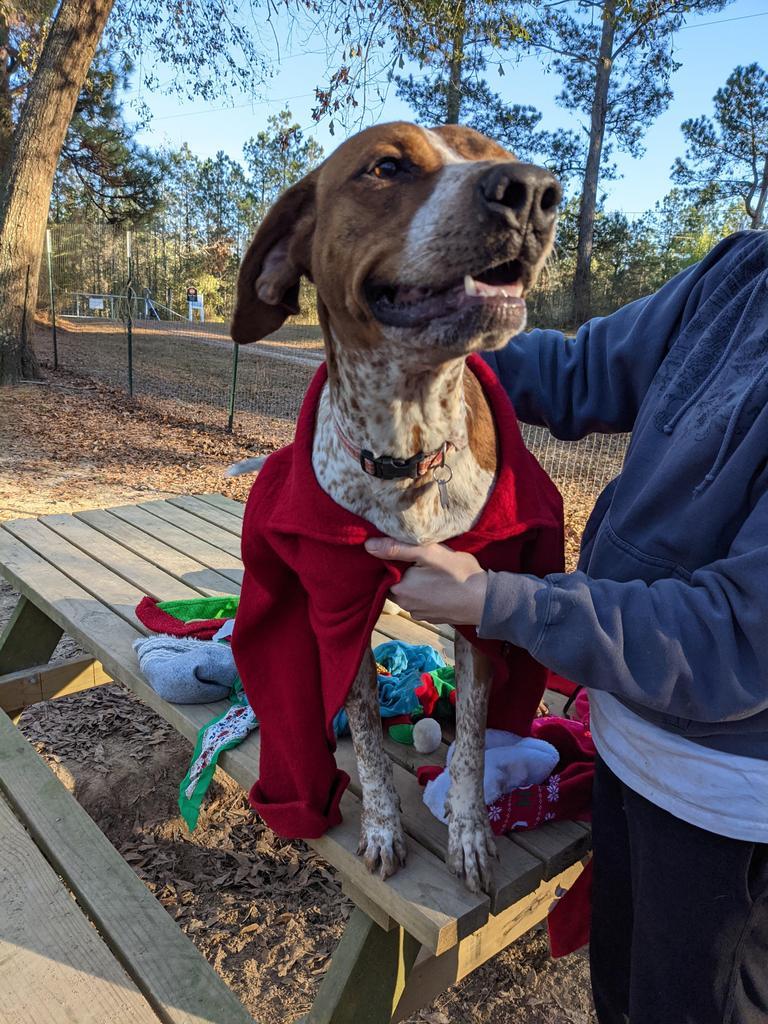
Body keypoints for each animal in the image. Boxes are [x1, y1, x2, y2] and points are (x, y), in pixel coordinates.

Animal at [228, 119, 561, 892]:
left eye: (490, 151)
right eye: (386, 167)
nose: (534, 191)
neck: (407, 445)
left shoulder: (474, 613)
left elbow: (471, 743)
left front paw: (470, 832)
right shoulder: (338, 609)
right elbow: (371, 745)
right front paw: (381, 827)